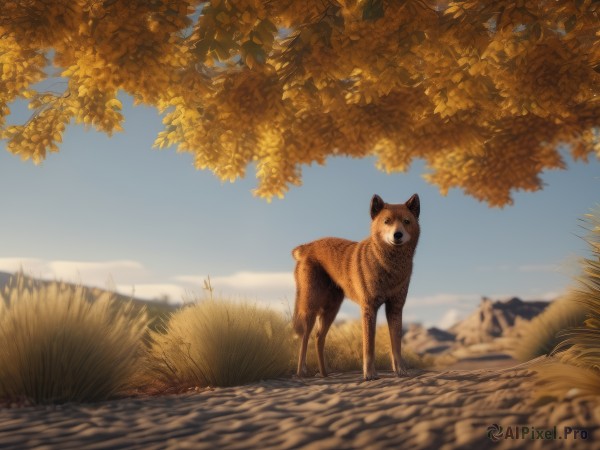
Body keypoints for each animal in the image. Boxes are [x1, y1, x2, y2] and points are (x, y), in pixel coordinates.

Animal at [290, 193, 418, 380]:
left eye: (406, 221)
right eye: (387, 221)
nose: (398, 235)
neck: (389, 267)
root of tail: (306, 246)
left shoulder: (395, 308)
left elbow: (396, 345)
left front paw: (401, 371)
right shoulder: (369, 308)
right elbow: (369, 347)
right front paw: (370, 374)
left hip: (331, 310)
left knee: (319, 337)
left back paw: (324, 373)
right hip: (310, 308)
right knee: (304, 338)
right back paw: (301, 372)